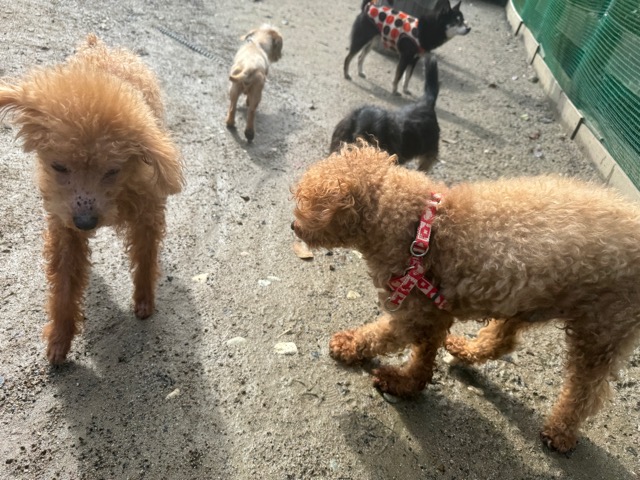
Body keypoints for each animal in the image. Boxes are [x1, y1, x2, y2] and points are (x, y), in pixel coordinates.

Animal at [0, 34, 184, 364]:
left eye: (112, 170)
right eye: (59, 166)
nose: (86, 222)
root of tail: (100, 47)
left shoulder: (148, 215)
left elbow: (145, 256)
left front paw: (144, 300)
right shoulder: (64, 226)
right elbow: (63, 281)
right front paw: (60, 338)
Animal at [291, 142, 640, 453]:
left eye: (305, 203)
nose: (293, 224)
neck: (418, 226)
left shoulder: (413, 313)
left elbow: (379, 335)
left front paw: (349, 345)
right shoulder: (431, 311)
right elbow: (423, 358)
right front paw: (407, 384)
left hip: (603, 328)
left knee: (586, 390)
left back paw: (560, 432)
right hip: (524, 298)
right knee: (502, 341)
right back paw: (467, 350)